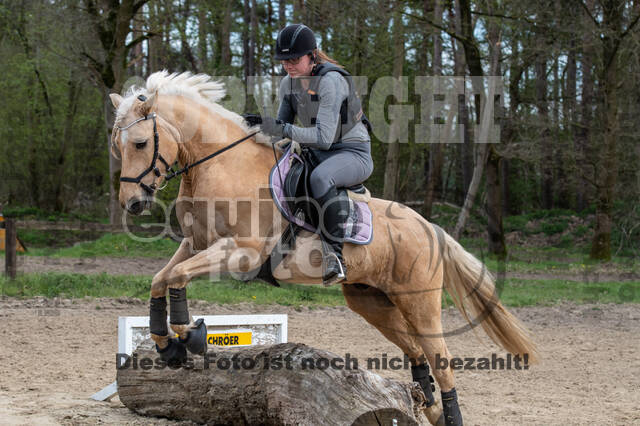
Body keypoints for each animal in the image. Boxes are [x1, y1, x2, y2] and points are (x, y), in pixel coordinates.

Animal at [109, 70, 536, 426]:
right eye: (118, 146)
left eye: (140, 143)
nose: (132, 203)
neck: (220, 166)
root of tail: (428, 227)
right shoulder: (195, 244)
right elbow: (161, 278)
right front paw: (167, 345)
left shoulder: (241, 253)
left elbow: (176, 277)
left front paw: (190, 336)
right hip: (372, 302)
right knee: (416, 351)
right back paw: (427, 407)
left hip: (419, 300)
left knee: (440, 359)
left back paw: (447, 413)